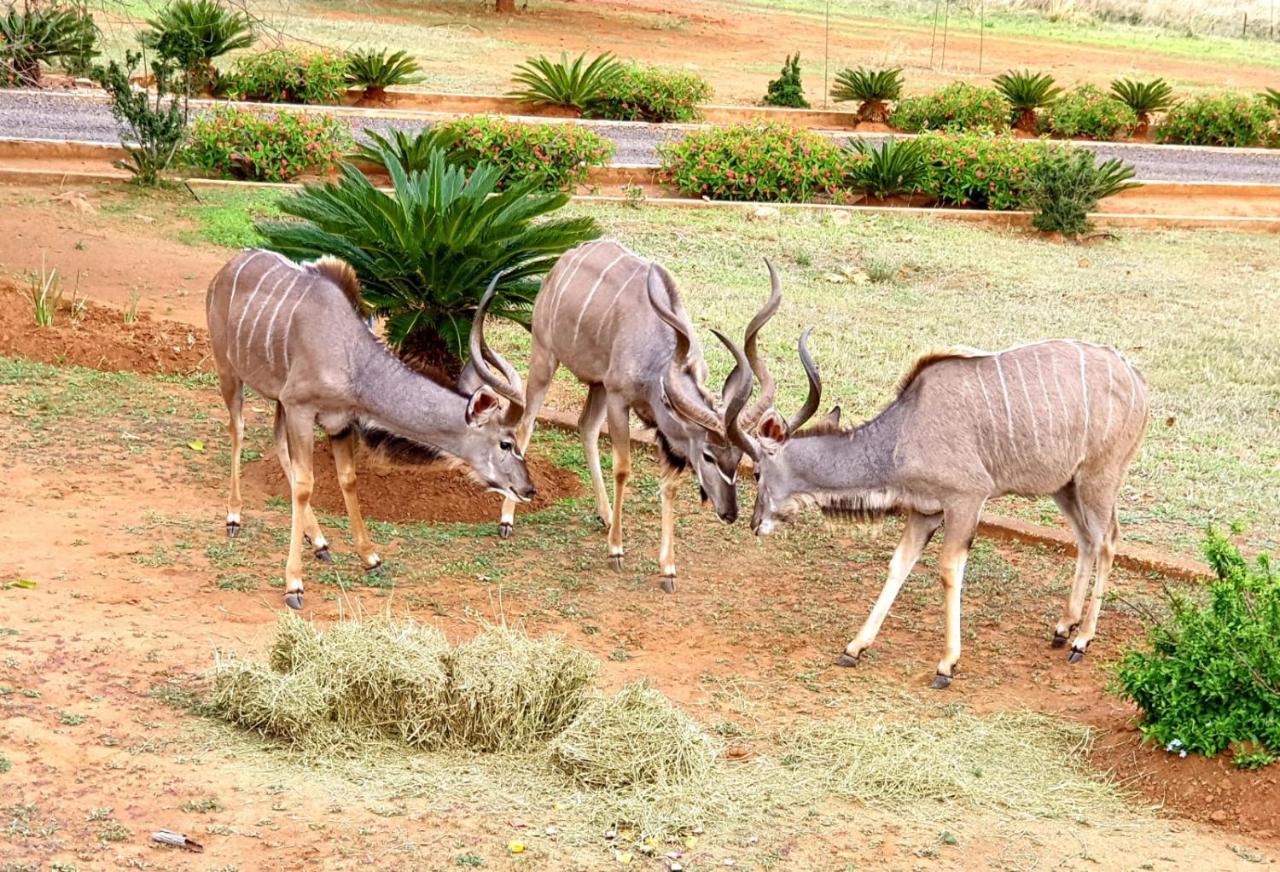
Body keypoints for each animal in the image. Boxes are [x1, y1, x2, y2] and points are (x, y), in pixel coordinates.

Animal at [208, 248, 535, 609]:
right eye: (506, 443)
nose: (528, 488)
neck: (353, 361)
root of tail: (228, 268)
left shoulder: (336, 422)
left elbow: (347, 479)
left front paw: (370, 558)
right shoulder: (300, 408)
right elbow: (306, 485)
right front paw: (294, 584)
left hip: (278, 401)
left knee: (278, 444)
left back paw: (318, 541)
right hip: (229, 371)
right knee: (237, 429)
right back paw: (234, 518)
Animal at [488, 238, 783, 591]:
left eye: (738, 458)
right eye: (708, 456)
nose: (729, 513)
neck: (658, 352)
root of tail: (564, 260)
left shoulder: (661, 428)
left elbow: (668, 485)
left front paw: (668, 569)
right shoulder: (619, 399)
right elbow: (622, 468)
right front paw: (616, 551)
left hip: (597, 384)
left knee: (586, 426)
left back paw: (605, 515)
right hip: (545, 357)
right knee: (526, 425)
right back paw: (507, 518)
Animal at [721, 330, 1152, 681]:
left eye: (756, 472)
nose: (755, 523)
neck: (904, 433)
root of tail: (1136, 378)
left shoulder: (966, 500)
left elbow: (948, 570)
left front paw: (946, 664)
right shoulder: (924, 511)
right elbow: (899, 564)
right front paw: (854, 648)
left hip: (1099, 477)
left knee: (1108, 541)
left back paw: (1083, 640)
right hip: (1065, 486)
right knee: (1086, 539)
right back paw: (1064, 627)